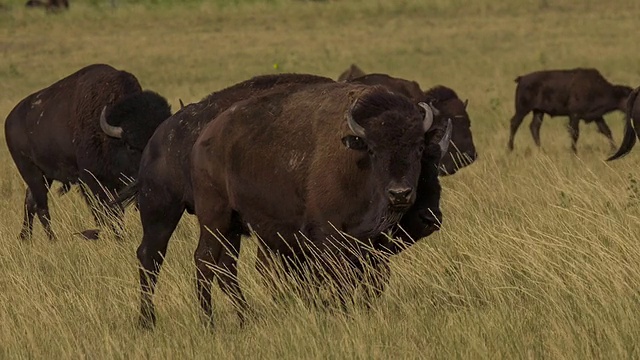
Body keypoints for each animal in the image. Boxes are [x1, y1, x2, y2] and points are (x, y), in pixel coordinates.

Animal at [3, 64, 172, 242]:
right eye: (130, 146)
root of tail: (10, 120)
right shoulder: (92, 180)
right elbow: (108, 211)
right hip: (30, 172)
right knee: (41, 206)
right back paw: (52, 240)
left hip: (45, 176)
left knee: (30, 201)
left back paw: (25, 238)